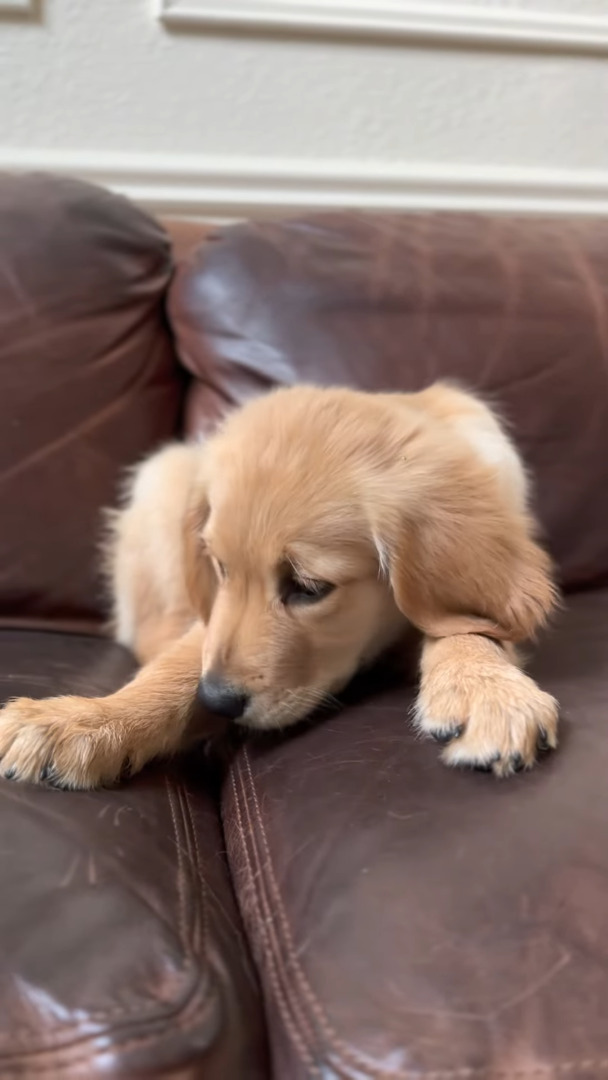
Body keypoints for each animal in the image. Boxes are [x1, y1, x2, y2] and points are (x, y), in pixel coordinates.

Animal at [0, 384, 561, 790]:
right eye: (220, 567)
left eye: (308, 587)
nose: (217, 702)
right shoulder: (214, 619)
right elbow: (178, 666)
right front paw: (84, 721)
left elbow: (467, 627)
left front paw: (485, 691)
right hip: (163, 476)